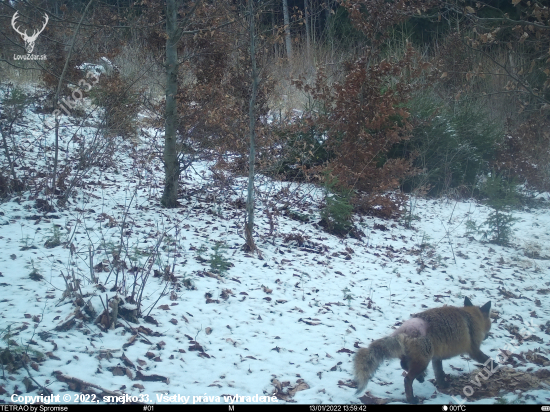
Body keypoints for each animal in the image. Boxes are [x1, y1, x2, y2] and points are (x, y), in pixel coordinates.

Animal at [356, 298, 494, 404]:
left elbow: (439, 373)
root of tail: (405, 330)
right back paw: (411, 399)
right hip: (423, 361)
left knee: (404, 365)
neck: (471, 317)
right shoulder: (473, 350)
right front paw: (495, 368)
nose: (488, 336)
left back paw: (420, 378)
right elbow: (488, 361)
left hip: (419, 358)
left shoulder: (437, 358)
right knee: (407, 379)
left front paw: (443, 385)